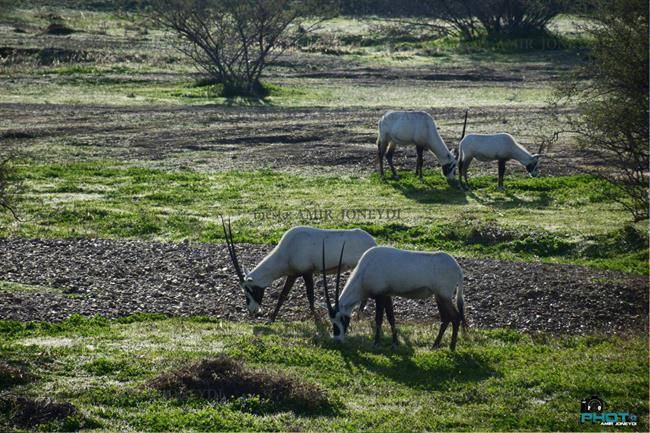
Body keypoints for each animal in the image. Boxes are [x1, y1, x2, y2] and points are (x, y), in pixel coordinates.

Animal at [221, 218, 374, 322]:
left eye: (250, 290)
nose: (252, 311)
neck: (286, 250)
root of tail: (372, 241)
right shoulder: (293, 274)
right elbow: (283, 295)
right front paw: (271, 319)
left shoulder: (307, 273)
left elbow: (310, 296)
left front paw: (315, 317)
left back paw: (358, 315)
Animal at [320, 245, 464, 350]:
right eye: (332, 320)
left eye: (341, 318)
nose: (337, 340)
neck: (364, 270)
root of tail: (458, 268)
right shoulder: (387, 295)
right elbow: (391, 318)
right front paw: (395, 343)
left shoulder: (380, 296)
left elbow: (379, 319)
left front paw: (376, 343)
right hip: (439, 297)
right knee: (445, 319)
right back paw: (435, 345)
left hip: (444, 296)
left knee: (455, 317)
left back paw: (452, 347)